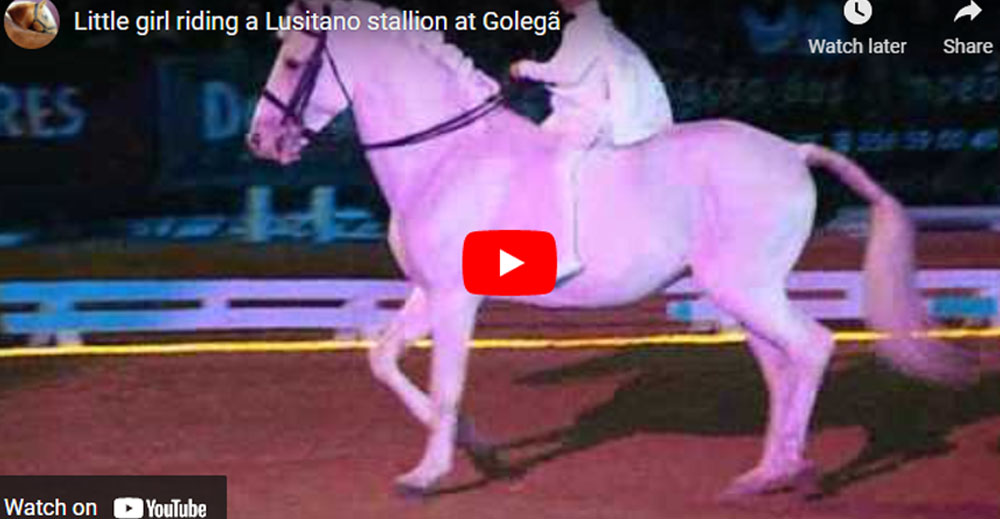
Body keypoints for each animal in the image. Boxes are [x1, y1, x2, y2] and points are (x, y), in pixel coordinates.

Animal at [246, 0, 972, 502]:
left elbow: (445, 383)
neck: (447, 154)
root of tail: (793, 151)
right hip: (744, 293)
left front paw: (429, 473)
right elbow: (385, 360)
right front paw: (481, 451)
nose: (260, 141)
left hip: (744, 288)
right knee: (782, 365)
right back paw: (770, 471)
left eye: (294, 61)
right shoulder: (428, 292)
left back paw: (801, 472)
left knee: (812, 347)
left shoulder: (455, 299)